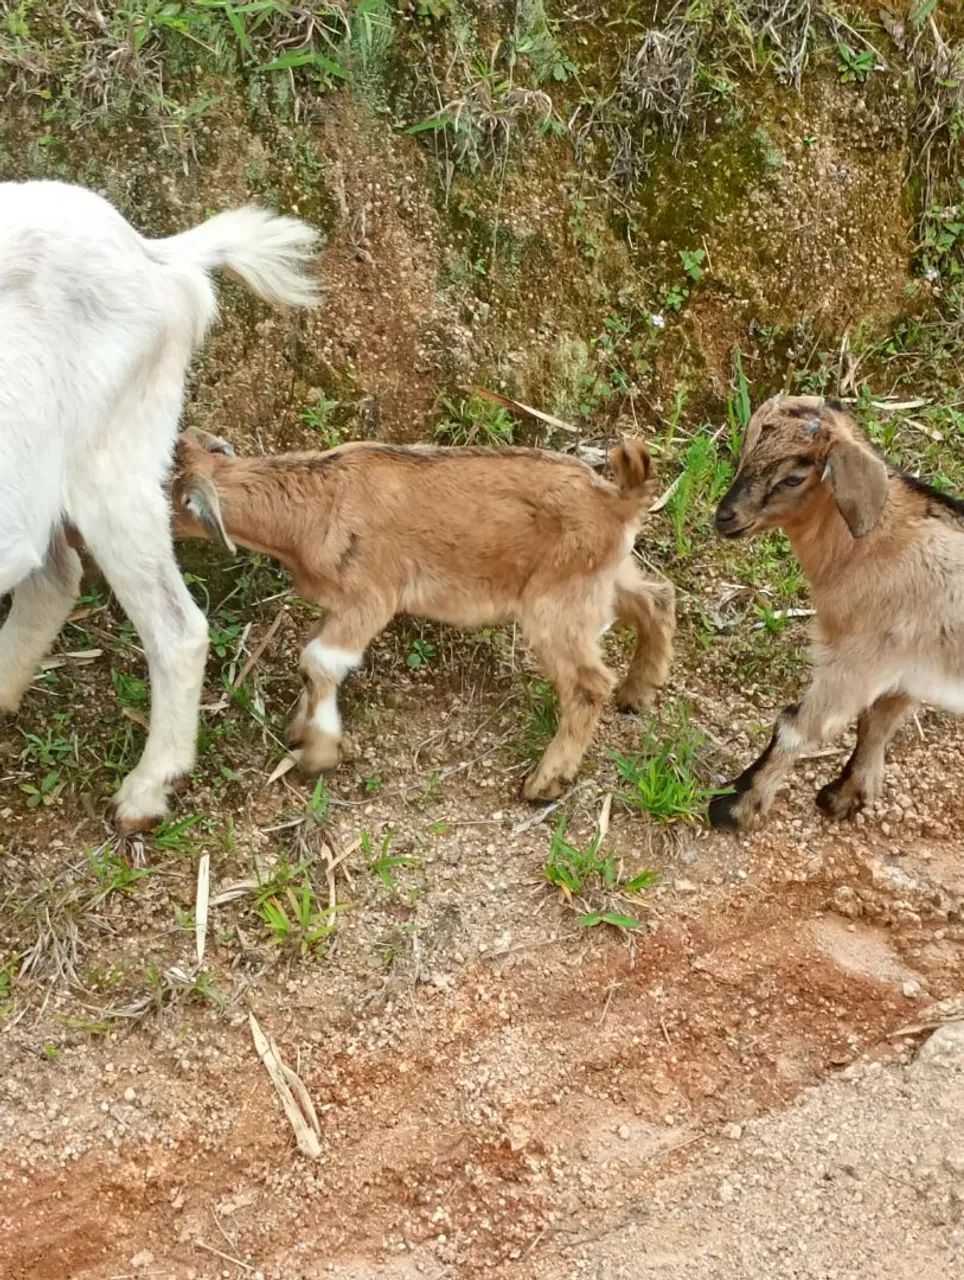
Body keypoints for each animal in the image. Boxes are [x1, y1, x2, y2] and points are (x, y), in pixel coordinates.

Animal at [171, 430, 676, 801]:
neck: (316, 505)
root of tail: (618, 500)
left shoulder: (370, 598)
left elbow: (318, 660)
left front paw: (320, 753)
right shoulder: (338, 605)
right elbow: (312, 664)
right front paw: (301, 729)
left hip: (556, 601)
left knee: (589, 682)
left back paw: (545, 780)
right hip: (603, 577)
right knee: (657, 599)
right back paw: (637, 693)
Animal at [708, 394, 964, 831]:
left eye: (794, 478)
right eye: (745, 452)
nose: (725, 517)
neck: (877, 544)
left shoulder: (855, 662)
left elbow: (797, 726)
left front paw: (733, 807)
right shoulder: (906, 672)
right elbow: (875, 725)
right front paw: (846, 797)